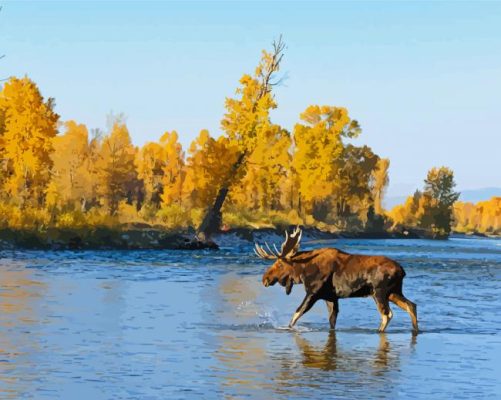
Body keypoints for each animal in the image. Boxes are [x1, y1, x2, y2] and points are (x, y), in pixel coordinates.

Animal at [254, 227, 418, 332]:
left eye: (280, 264)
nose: (265, 279)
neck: (303, 271)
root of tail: (402, 271)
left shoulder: (313, 292)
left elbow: (297, 313)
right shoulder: (331, 297)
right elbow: (332, 321)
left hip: (379, 292)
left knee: (387, 314)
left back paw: (379, 330)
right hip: (394, 292)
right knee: (411, 305)